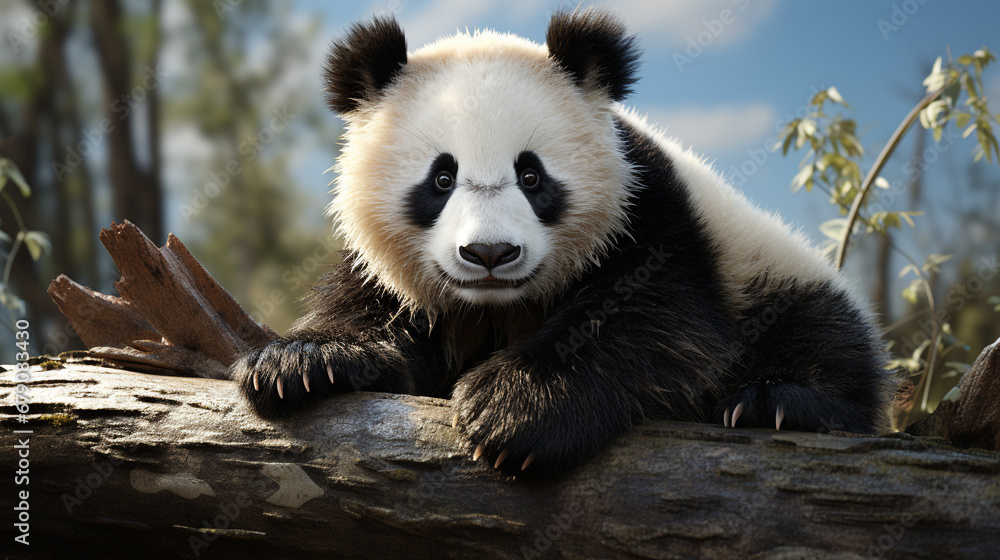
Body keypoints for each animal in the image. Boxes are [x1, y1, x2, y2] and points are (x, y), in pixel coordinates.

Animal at [232, 9, 893, 473]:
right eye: (441, 179)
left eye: (531, 175)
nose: (490, 254)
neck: (498, 309)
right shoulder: (381, 266)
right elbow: (367, 310)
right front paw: (298, 364)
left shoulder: (652, 213)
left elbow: (658, 322)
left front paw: (513, 410)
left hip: (771, 272)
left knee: (828, 343)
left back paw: (775, 403)